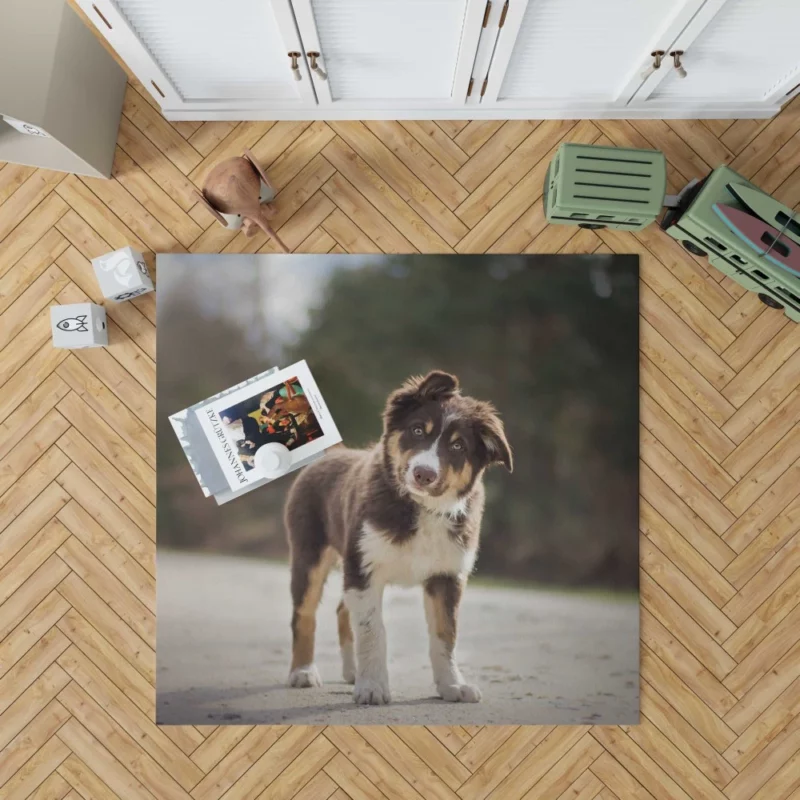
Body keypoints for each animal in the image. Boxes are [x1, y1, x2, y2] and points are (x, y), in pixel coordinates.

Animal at [284, 372, 516, 704]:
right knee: (303, 614)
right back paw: (302, 672)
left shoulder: (446, 576)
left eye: (458, 446)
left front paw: (453, 686)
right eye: (417, 430)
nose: (424, 474)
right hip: (309, 553)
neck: (422, 508)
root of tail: (336, 453)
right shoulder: (365, 568)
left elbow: (445, 635)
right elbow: (372, 630)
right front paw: (372, 687)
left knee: (342, 610)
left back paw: (351, 672)